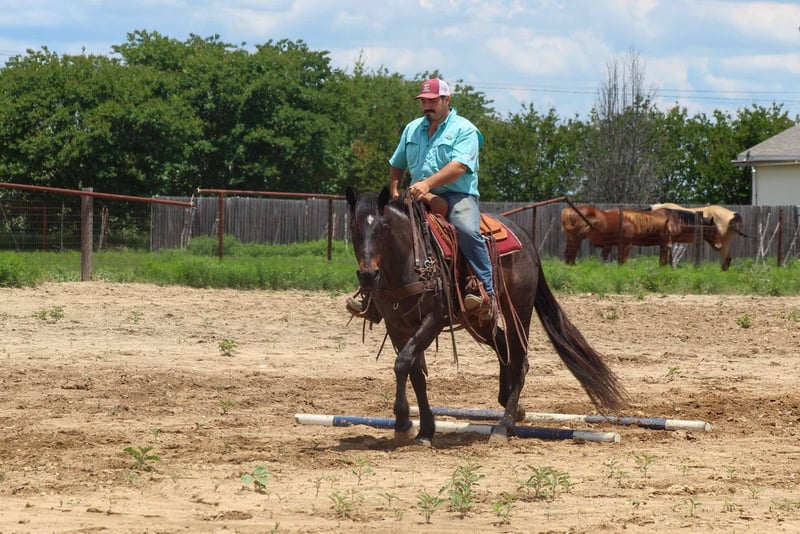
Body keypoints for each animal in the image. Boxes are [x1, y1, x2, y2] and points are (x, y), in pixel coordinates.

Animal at [346, 187, 626, 446]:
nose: (368, 276)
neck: (407, 263)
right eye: (352, 227)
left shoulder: (434, 319)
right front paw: (424, 429)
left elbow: (403, 363)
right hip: (478, 318)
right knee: (504, 347)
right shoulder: (397, 325)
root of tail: (525, 238)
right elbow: (414, 372)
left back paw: (504, 425)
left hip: (518, 307)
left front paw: (403, 423)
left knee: (519, 357)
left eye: (383, 226)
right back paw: (512, 405)